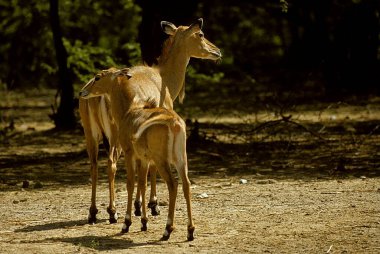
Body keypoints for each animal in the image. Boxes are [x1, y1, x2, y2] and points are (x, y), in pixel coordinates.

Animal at [79, 67, 194, 240]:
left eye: (98, 77)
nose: (82, 92)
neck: (128, 110)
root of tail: (174, 123)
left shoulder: (129, 152)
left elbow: (130, 184)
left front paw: (127, 223)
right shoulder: (144, 158)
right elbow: (142, 184)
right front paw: (144, 222)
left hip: (161, 160)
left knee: (173, 185)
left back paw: (167, 229)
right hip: (181, 159)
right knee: (186, 184)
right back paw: (190, 231)